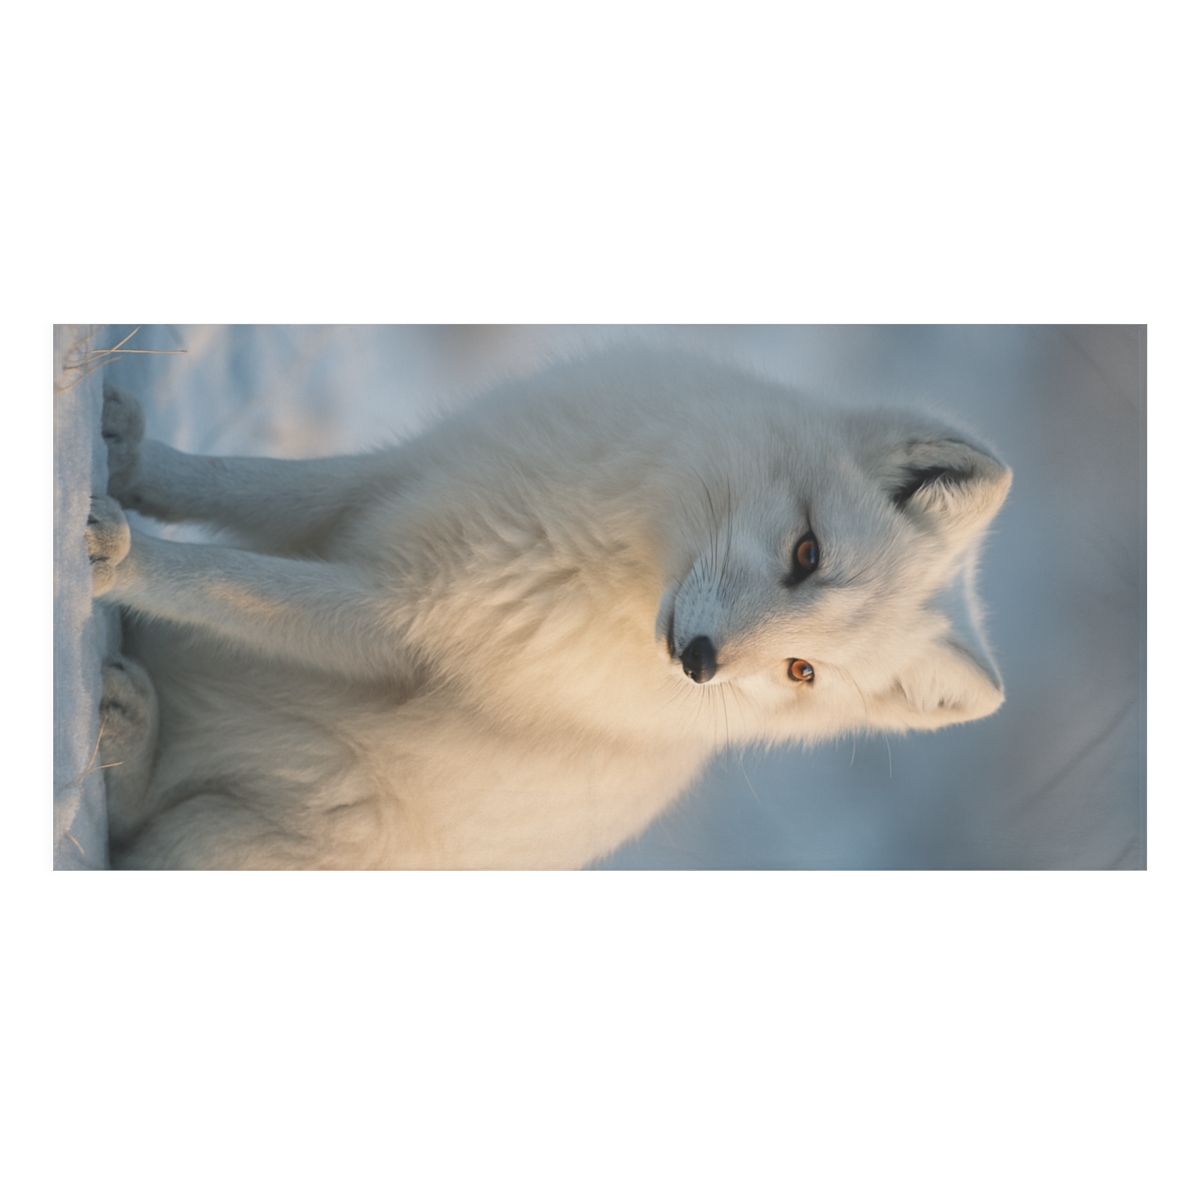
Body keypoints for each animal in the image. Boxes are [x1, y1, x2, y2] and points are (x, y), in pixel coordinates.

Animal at [86, 345, 1012, 869]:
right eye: (808, 555)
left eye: (802, 672)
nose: (699, 663)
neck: (616, 546)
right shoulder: (393, 484)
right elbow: (239, 483)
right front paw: (127, 457)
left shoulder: (402, 617)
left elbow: (222, 579)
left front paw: (119, 556)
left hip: (226, 840)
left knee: (131, 838)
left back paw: (126, 729)